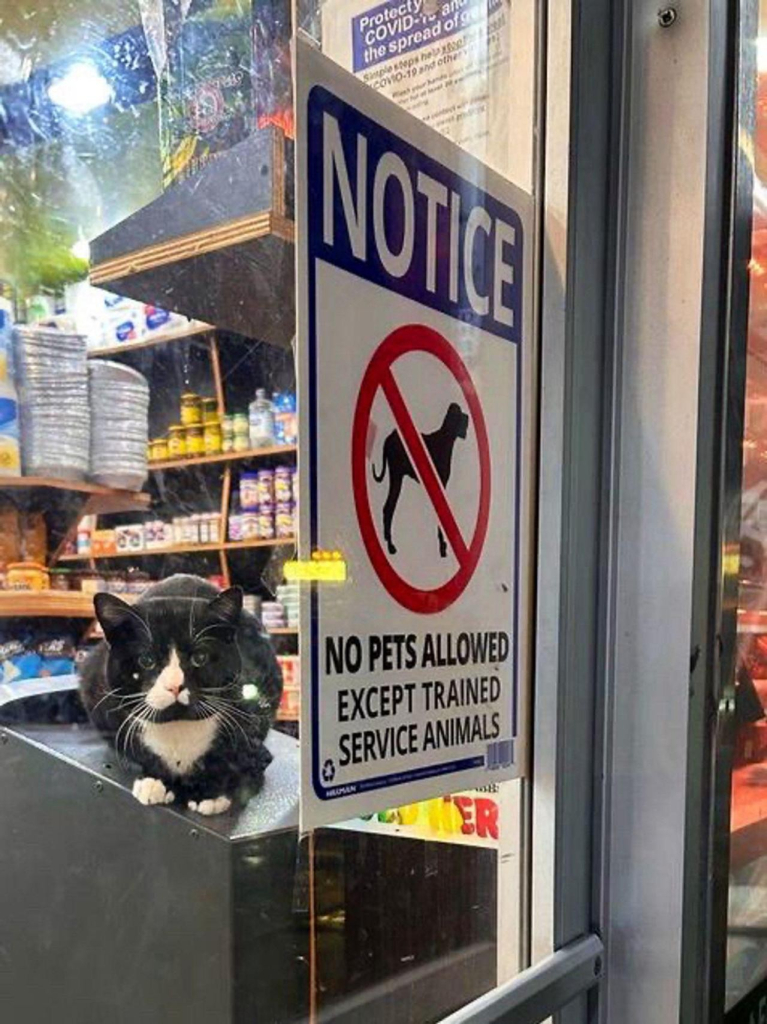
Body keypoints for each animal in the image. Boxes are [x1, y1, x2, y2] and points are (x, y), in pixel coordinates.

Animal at [79, 577, 282, 815]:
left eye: (200, 657)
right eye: (146, 660)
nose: (174, 686)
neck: (178, 725)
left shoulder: (258, 698)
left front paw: (210, 793)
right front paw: (155, 780)